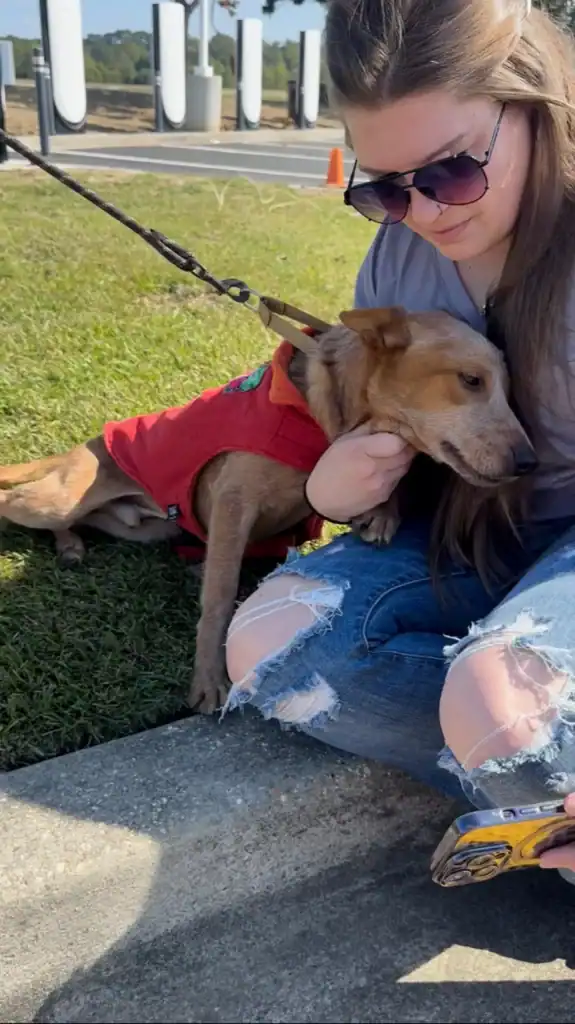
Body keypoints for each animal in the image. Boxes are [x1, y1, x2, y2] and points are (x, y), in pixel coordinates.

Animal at [0, 306, 537, 714]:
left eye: (509, 389)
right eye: (471, 380)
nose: (530, 462)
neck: (320, 416)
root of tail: (84, 446)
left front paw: (383, 510)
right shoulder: (233, 503)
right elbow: (218, 598)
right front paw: (209, 677)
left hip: (143, 528)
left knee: (83, 522)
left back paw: (71, 545)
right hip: (60, 498)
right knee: (18, 501)